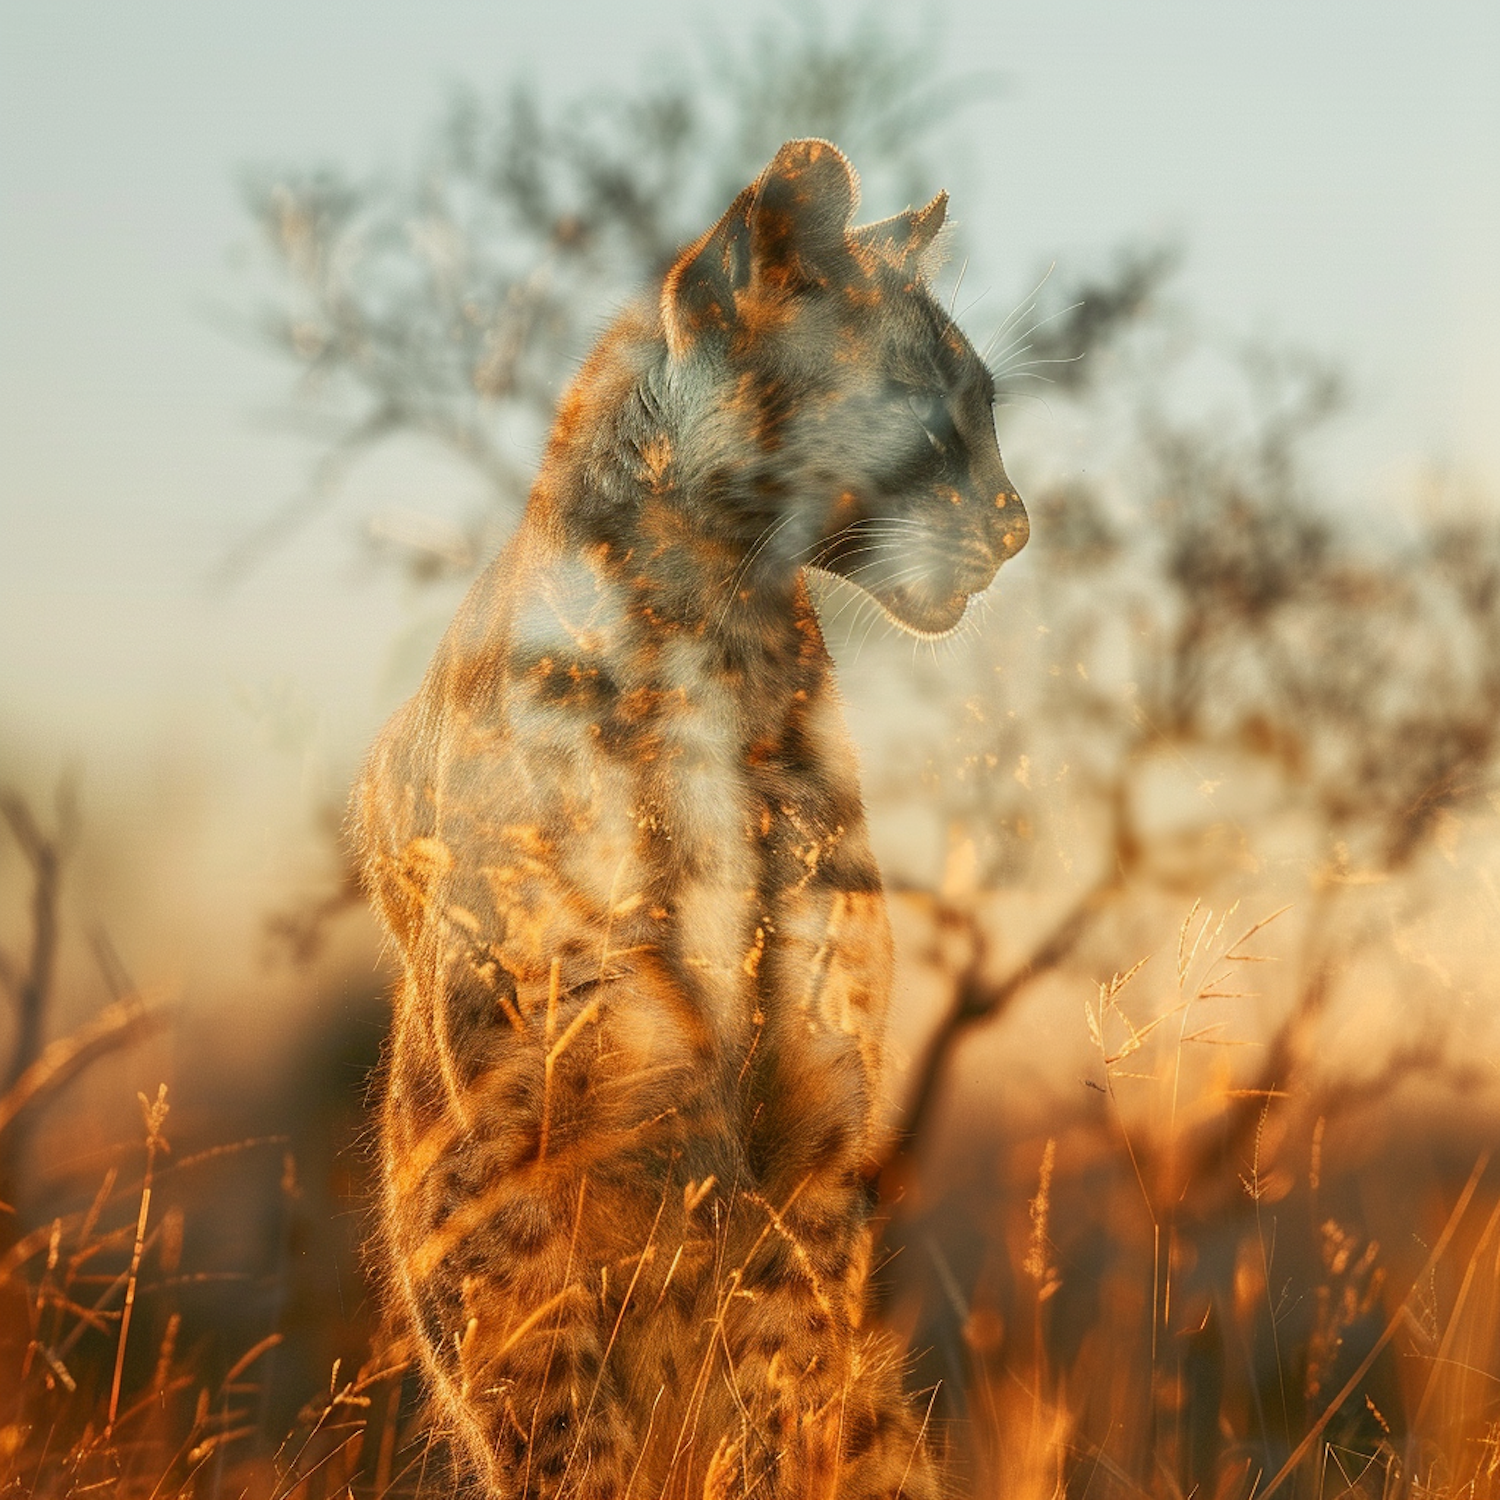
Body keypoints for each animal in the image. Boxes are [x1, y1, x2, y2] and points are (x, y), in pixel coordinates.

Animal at [357, 143, 1026, 1500]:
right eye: (928, 401)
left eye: (990, 400)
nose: (1019, 523)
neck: (720, 632)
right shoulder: (519, 1169)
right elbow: (578, 1431)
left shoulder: (808, 1135)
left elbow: (796, 1390)